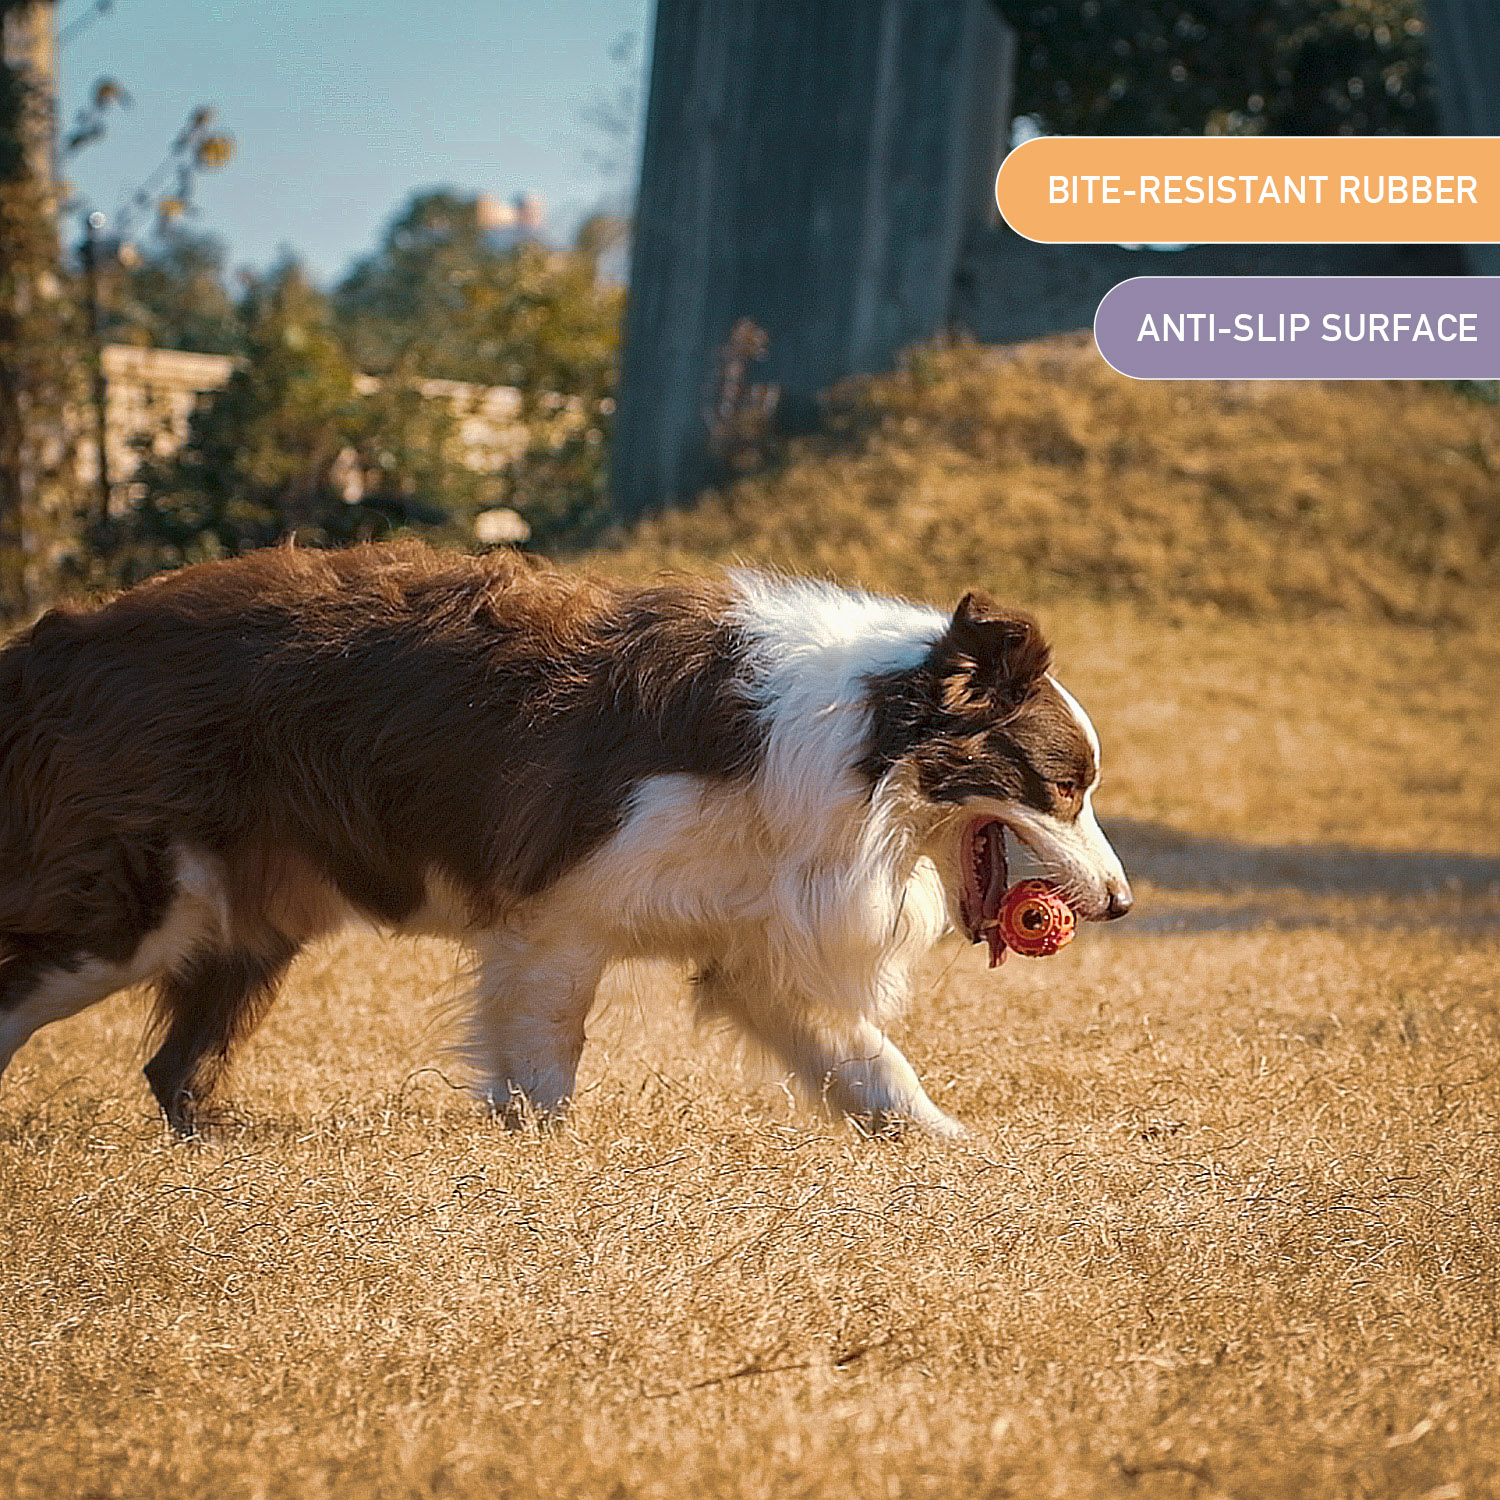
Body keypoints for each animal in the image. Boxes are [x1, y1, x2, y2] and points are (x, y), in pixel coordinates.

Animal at [0, 543, 1128, 1134]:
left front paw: (959, 1152)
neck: (856, 741)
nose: (1119, 905)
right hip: (136, 901)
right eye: (1065, 786)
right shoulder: (559, 911)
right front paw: (545, 1158)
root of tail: (56, 638)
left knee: (173, 1065)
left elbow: (869, 1061)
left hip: (254, 909)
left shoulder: (753, 934)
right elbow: (547, 1056)